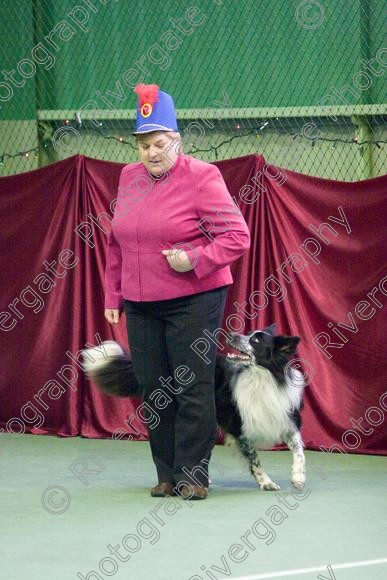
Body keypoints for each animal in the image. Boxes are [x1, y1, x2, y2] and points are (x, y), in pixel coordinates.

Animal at [83, 324, 308, 492]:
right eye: (248, 334)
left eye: (256, 340)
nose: (232, 335)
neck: (261, 378)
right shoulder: (239, 427)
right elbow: (255, 460)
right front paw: (267, 482)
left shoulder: (287, 420)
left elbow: (299, 450)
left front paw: (298, 477)